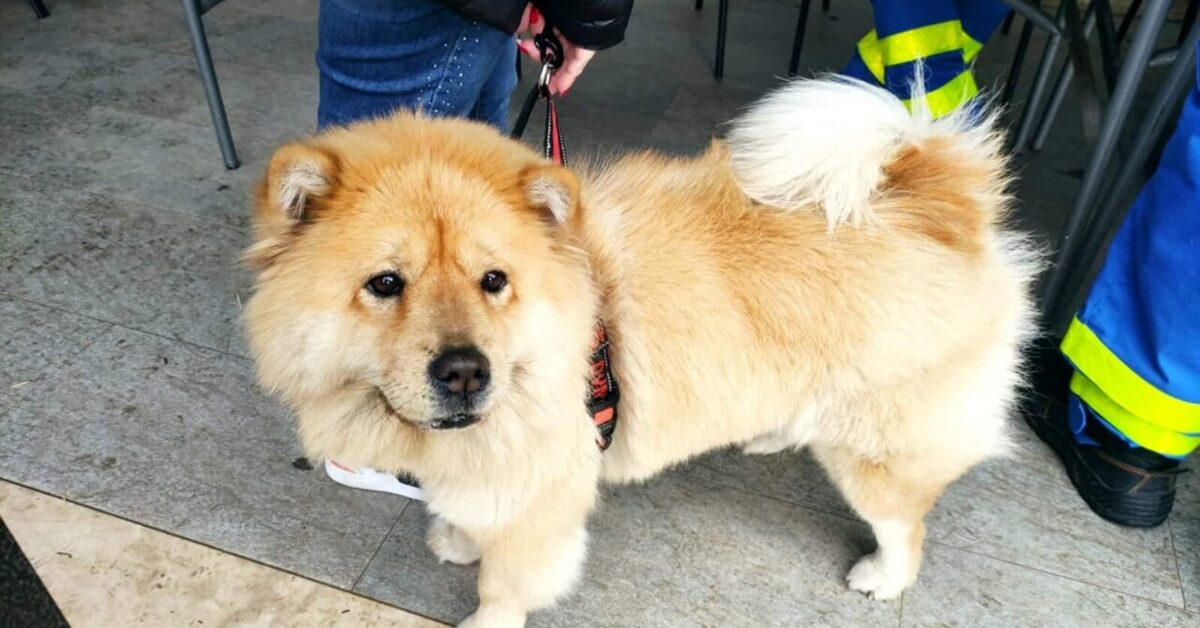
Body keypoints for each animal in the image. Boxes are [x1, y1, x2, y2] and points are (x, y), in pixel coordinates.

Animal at [243, 76, 1041, 624]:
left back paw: (881, 577)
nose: (466, 371)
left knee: (905, 524)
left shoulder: (541, 498)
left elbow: (505, 585)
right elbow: (474, 518)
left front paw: (482, 604)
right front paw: (458, 537)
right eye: (385, 284)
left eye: (493, 281)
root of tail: (944, 206)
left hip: (876, 447)